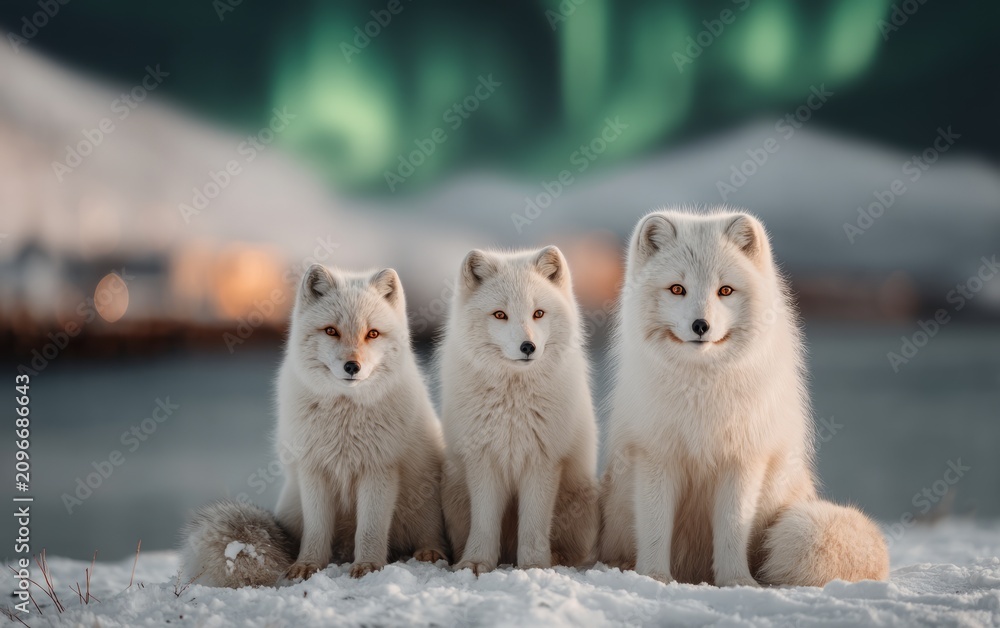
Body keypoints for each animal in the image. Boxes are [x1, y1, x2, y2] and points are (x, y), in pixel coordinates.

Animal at [179, 265, 448, 587]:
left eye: (372, 333)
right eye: (331, 330)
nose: (352, 367)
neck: (344, 419)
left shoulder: (378, 468)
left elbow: (370, 530)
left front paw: (368, 566)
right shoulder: (313, 469)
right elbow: (317, 530)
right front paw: (308, 566)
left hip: (423, 503)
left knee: (429, 537)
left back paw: (428, 552)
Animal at [439, 246, 599, 574]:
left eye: (538, 313)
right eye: (500, 314)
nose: (528, 347)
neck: (513, 402)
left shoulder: (542, 460)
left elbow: (534, 526)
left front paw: (534, 567)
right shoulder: (483, 459)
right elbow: (485, 523)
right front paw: (476, 562)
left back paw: (555, 559)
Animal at [598, 208, 889, 587]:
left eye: (725, 290)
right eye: (677, 289)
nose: (701, 325)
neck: (702, 392)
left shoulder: (743, 460)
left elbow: (733, 528)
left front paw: (736, 581)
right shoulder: (656, 455)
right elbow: (655, 527)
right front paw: (654, 577)